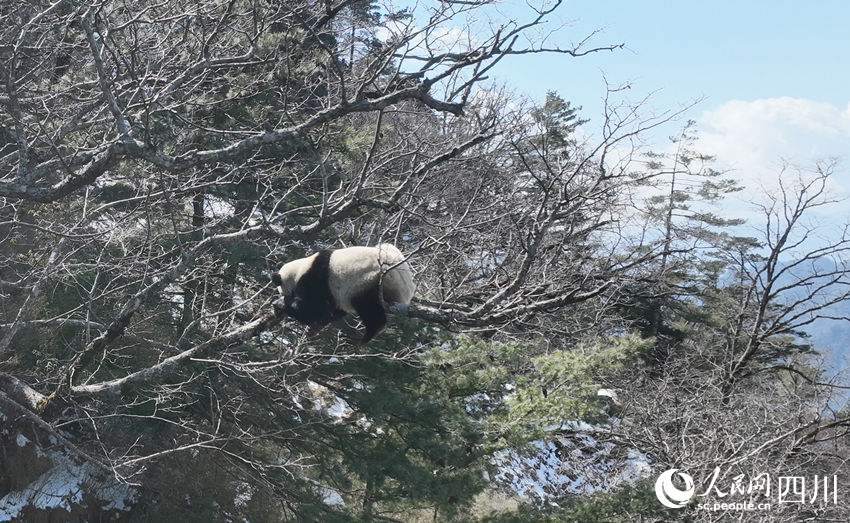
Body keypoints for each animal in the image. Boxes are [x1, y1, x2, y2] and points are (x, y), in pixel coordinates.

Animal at [272, 243, 414, 342]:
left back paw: (370, 334)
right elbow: (331, 310)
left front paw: (279, 303)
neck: (299, 268)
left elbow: (312, 311)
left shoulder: (316, 278)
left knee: (366, 306)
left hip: (369, 280)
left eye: (282, 292)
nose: (282, 296)